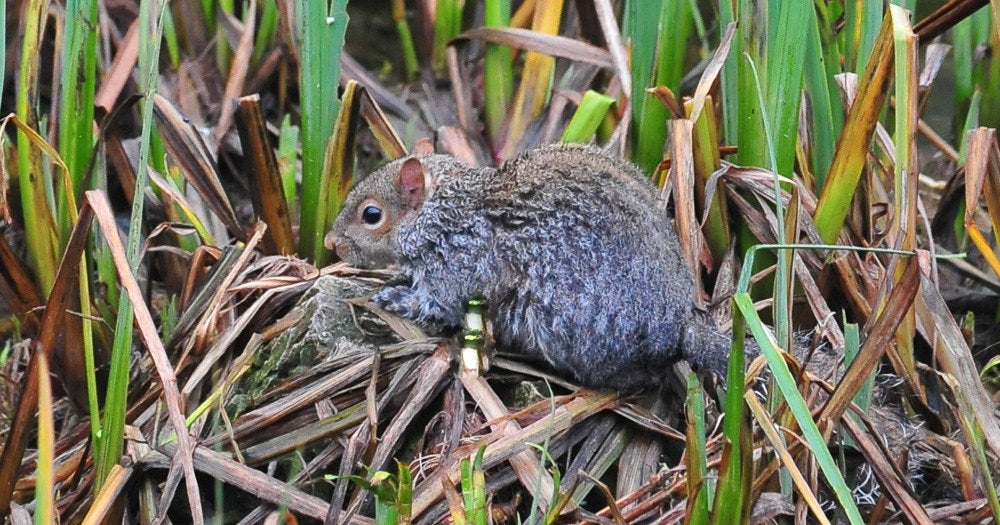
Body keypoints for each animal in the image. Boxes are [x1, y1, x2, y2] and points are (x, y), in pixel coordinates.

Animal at [326, 143, 737, 390]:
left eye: (372, 215)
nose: (331, 243)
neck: (448, 217)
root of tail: (680, 325)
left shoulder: (459, 269)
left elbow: (437, 306)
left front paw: (394, 297)